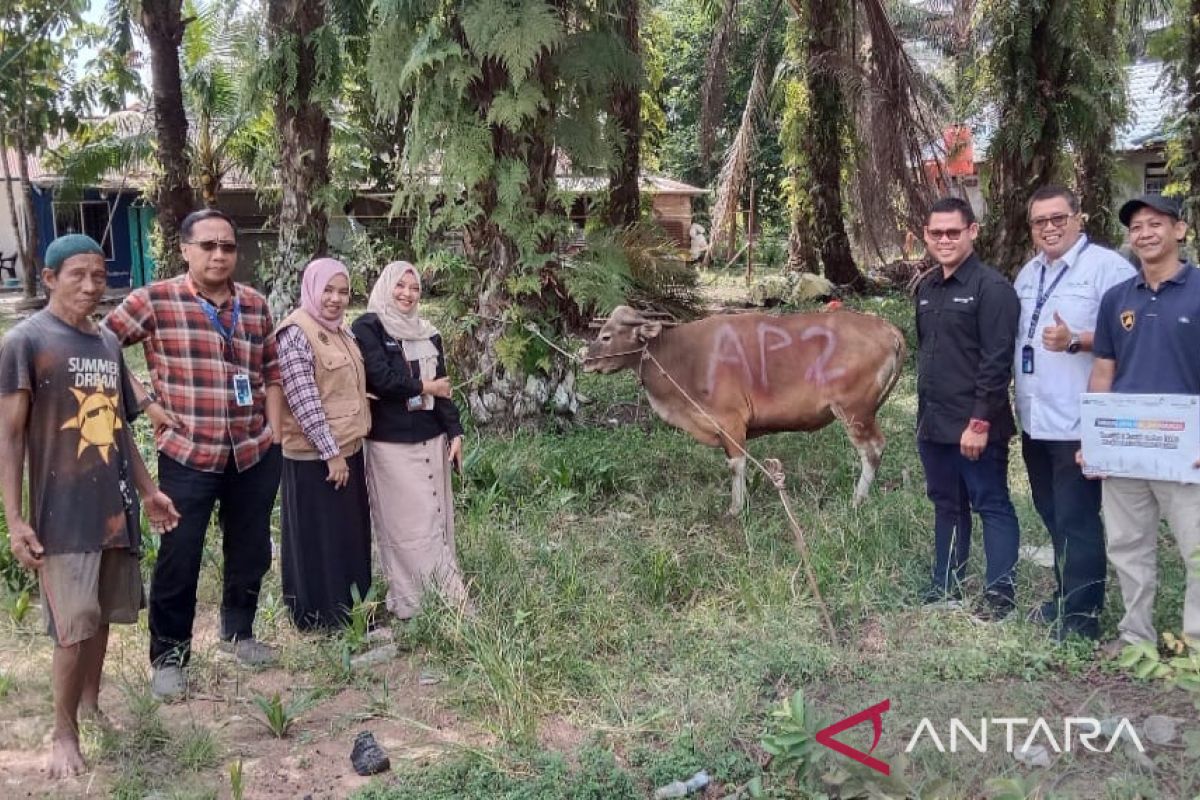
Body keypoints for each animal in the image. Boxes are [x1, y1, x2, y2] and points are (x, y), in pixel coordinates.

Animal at [585, 303, 902, 515]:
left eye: (606, 336)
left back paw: (857, 499)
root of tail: (889, 330)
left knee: (873, 449)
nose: (584, 358)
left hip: (855, 412)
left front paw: (736, 508)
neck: (682, 357)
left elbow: (736, 465)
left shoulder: (731, 421)